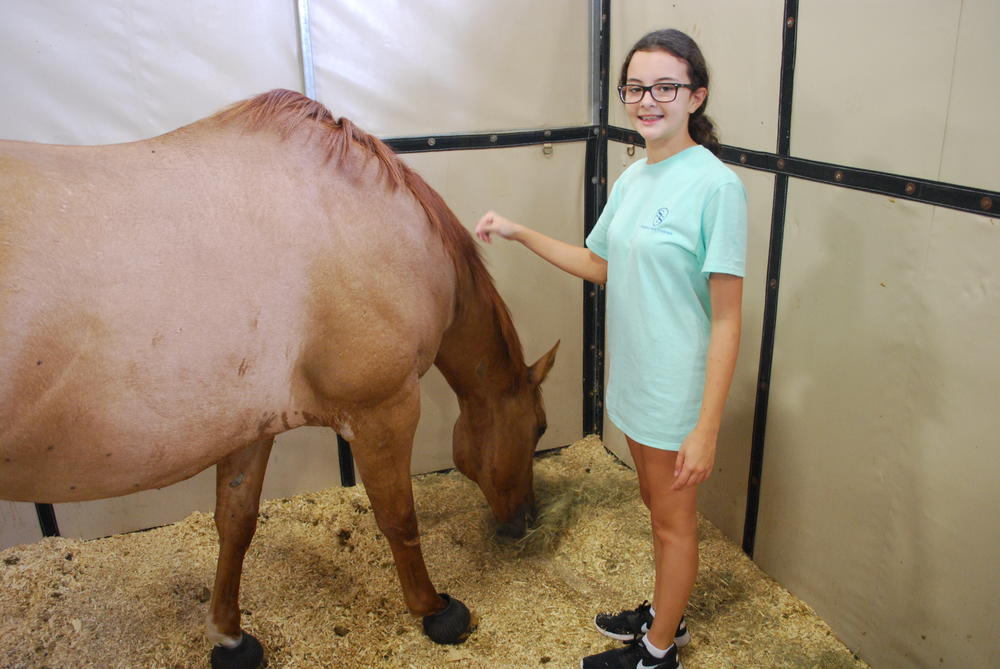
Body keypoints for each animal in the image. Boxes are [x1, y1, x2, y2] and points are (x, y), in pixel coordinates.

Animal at [0, 90, 556, 668]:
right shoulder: (384, 409)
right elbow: (398, 517)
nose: (526, 519)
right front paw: (436, 611)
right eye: (539, 428)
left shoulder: (250, 428)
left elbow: (236, 524)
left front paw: (230, 637)